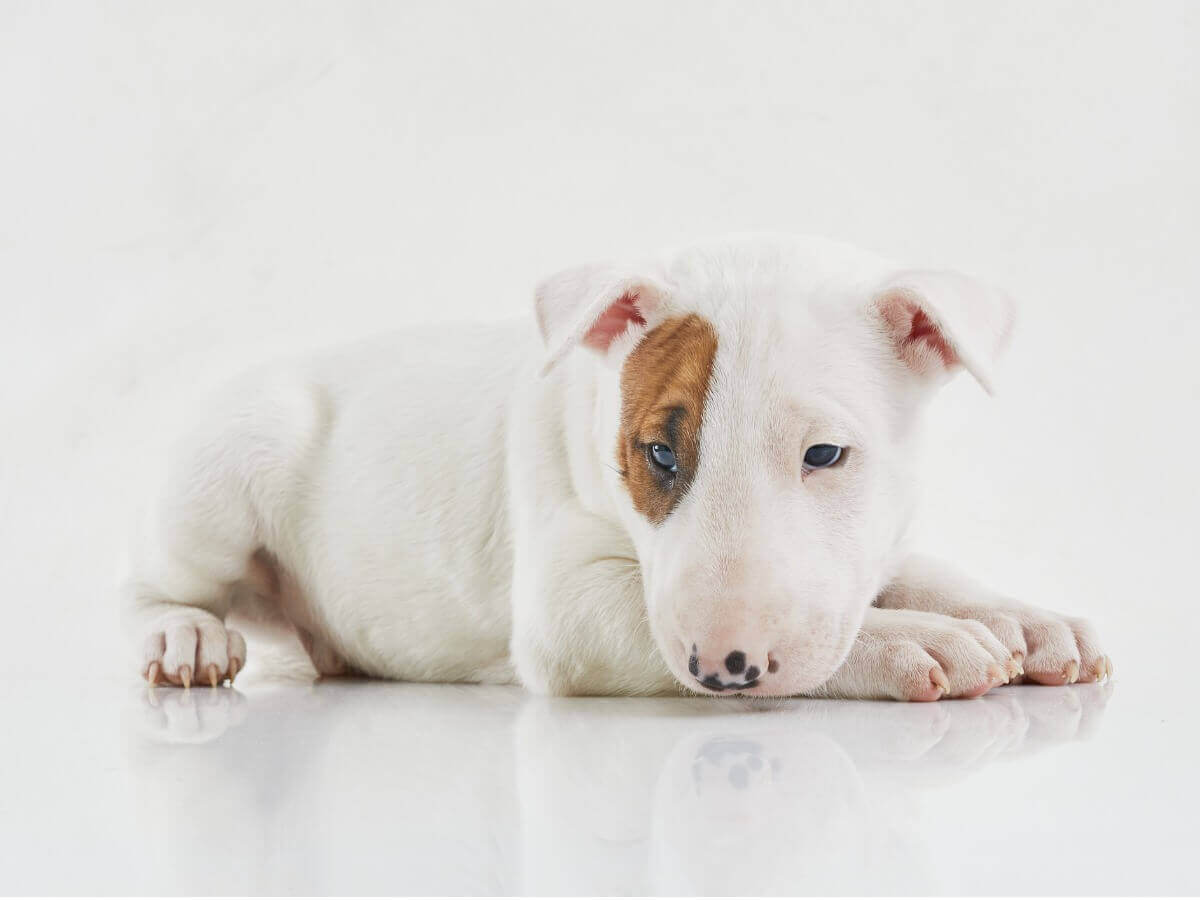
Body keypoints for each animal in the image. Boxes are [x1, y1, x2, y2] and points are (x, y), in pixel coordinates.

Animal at [126, 236, 1108, 700]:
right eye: (660, 453)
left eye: (826, 454)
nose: (725, 665)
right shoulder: (564, 610)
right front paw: (914, 641)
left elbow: (915, 568)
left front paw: (1023, 621)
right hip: (233, 465)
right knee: (157, 585)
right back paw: (185, 637)